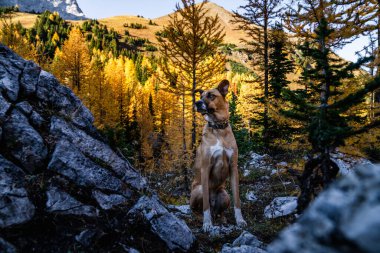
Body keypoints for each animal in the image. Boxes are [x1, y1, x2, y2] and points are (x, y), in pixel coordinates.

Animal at [190, 79, 246, 231]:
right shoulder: (205, 167)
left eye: (211, 96)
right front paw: (207, 224)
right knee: (196, 209)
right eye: (201, 96)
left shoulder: (233, 167)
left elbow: (237, 199)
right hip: (198, 190)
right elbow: (205, 205)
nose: (197, 103)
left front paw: (240, 220)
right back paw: (203, 218)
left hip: (224, 194)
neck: (218, 129)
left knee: (219, 212)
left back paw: (222, 219)